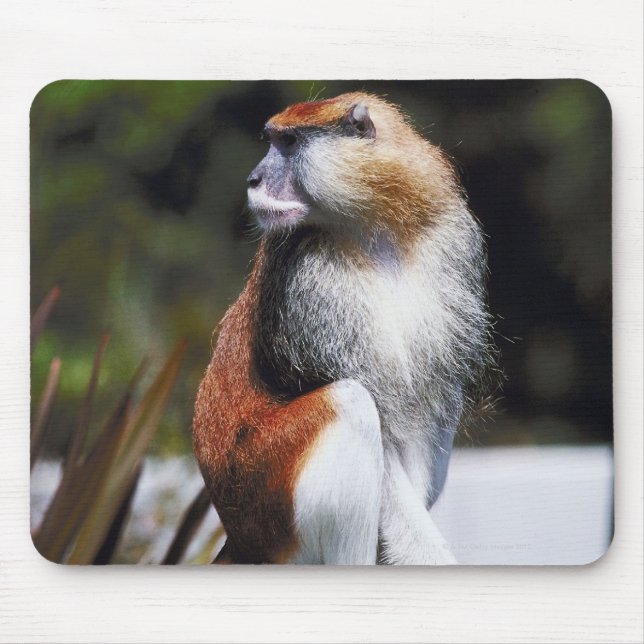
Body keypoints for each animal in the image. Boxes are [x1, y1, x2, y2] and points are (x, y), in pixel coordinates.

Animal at [193, 92, 497, 565]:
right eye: (273, 140)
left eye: (289, 143)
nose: (254, 179)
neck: (376, 226)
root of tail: (240, 539)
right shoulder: (310, 279)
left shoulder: (453, 241)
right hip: (269, 500)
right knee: (349, 403)